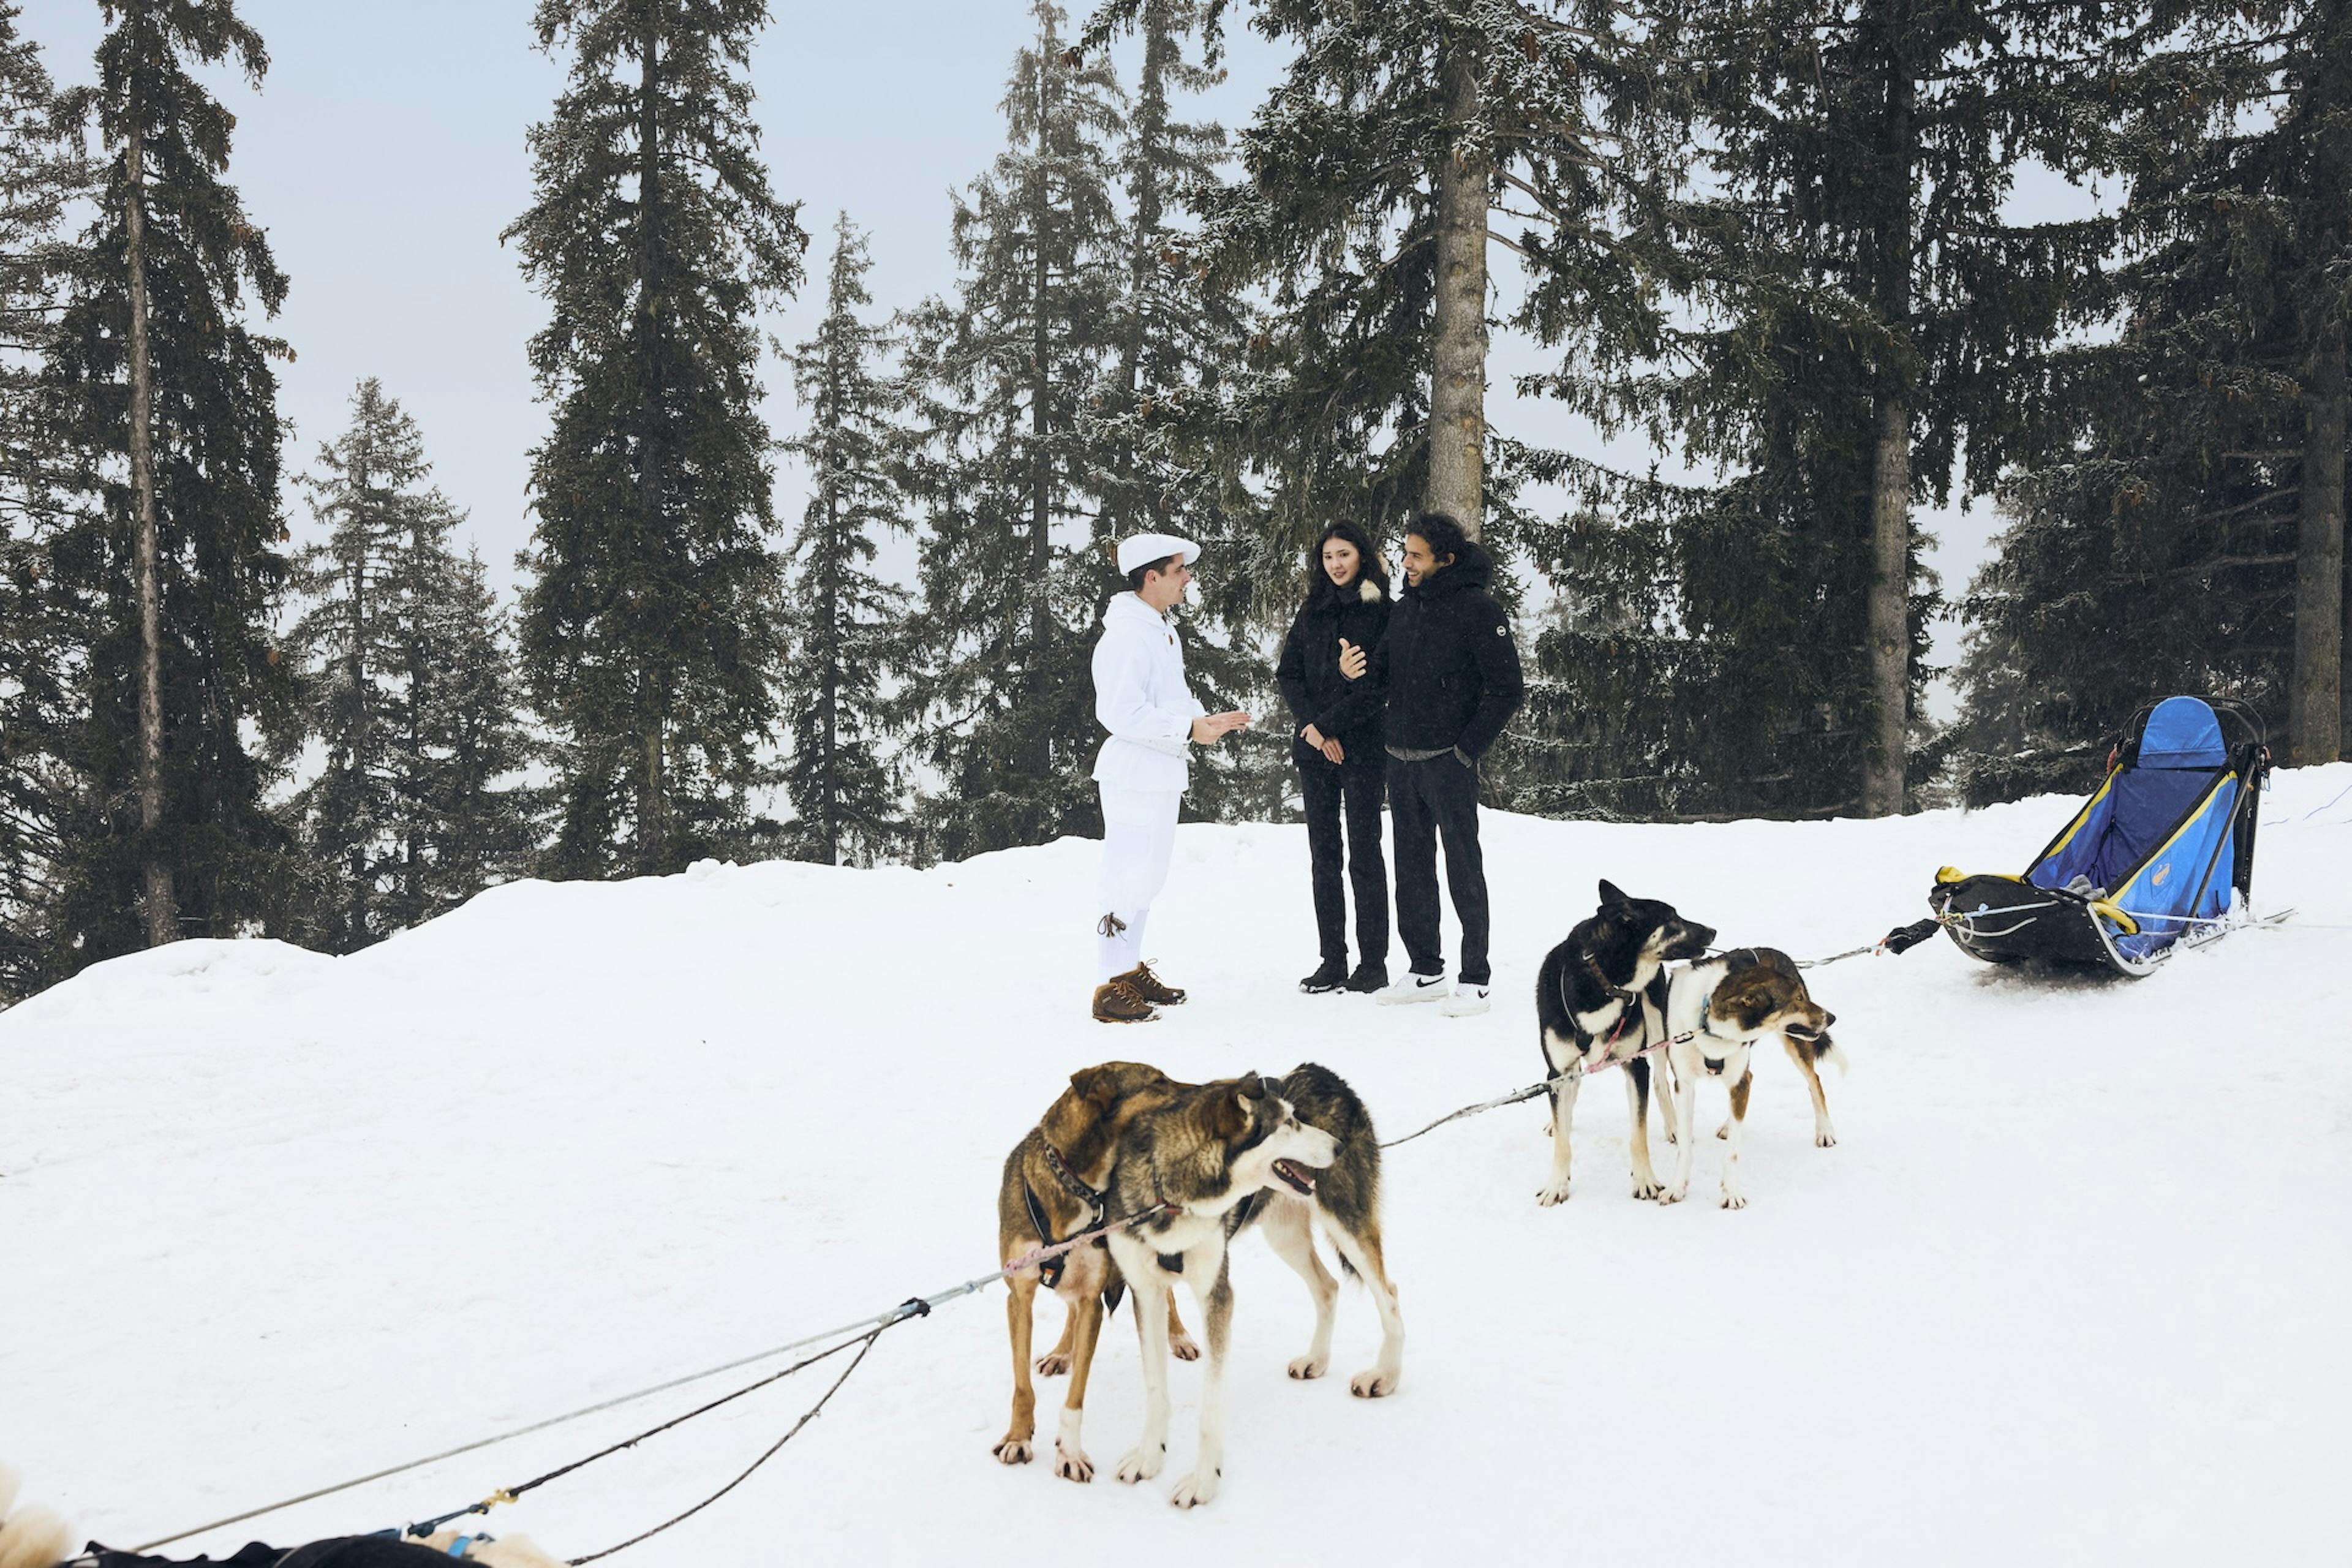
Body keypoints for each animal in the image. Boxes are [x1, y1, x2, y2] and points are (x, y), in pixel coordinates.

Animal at [997, 1062, 1204, 1476]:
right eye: (1158, 1081)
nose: (1203, 1092)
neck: (1077, 1186)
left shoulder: (1093, 1297)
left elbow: (1076, 1395)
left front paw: (1069, 1454)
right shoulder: (1020, 1295)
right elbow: (1022, 1385)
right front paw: (1018, 1438)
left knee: (1166, 1294)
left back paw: (1178, 1335)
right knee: (1070, 1311)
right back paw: (1062, 1351)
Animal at [1096, 1067, 1392, 1504]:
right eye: (1288, 1123)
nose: (1338, 1147)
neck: (1171, 1194)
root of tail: (1323, 1072)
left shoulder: (1216, 1296)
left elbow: (1211, 1407)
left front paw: (1203, 1482)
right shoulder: (1146, 1294)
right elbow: (1155, 1390)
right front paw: (1149, 1458)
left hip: (1346, 1223)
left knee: (1389, 1296)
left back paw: (1386, 1377)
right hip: (1284, 1234)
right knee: (1328, 1287)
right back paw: (1317, 1360)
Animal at [1533, 884, 1721, 1204]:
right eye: (1671, 919)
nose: (1712, 931)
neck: (1604, 982)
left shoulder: (1636, 1066)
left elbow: (1638, 1133)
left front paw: (1645, 1180)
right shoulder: (1557, 1072)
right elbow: (1563, 1141)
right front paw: (1557, 1184)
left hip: (1657, 1026)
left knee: (1661, 1082)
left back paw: (1674, 1126)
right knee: (1573, 1090)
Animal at [1656, 949, 1834, 1213]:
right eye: (1798, 999)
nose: (1831, 1018)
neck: (1708, 1025)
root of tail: (1775, 951)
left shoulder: (1738, 1080)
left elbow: (1731, 1153)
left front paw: (1731, 1193)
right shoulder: (1684, 1085)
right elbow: (1685, 1147)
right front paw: (1677, 1187)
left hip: (1795, 1045)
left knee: (1815, 1081)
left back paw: (1825, 1131)